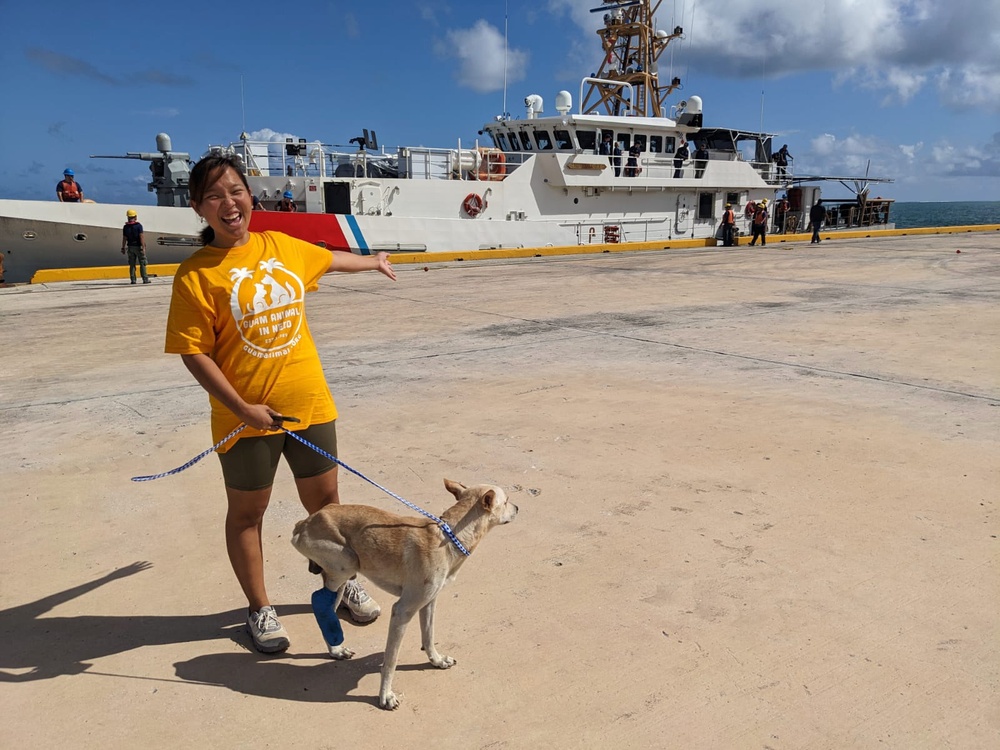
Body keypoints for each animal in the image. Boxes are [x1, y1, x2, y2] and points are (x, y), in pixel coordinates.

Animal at [288, 482, 516, 712]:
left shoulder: (429, 602)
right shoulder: (402, 611)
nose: (517, 508)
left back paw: (335, 649)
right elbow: (391, 660)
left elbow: (428, 636)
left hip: (341, 578)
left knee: (327, 609)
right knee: (318, 600)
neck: (451, 537)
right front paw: (385, 695)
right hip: (347, 562)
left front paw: (436, 660)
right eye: (506, 501)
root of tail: (305, 522)